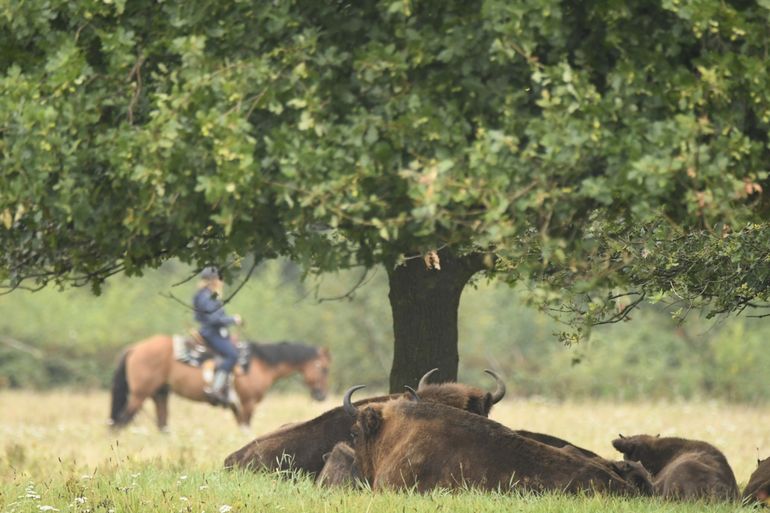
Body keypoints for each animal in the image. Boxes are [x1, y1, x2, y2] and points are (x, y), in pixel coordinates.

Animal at [106, 334, 328, 430]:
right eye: (324, 368)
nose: (321, 396)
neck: (259, 364)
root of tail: (135, 348)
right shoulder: (247, 404)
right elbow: (246, 429)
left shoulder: (237, 407)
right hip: (139, 395)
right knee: (120, 422)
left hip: (160, 394)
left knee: (162, 425)